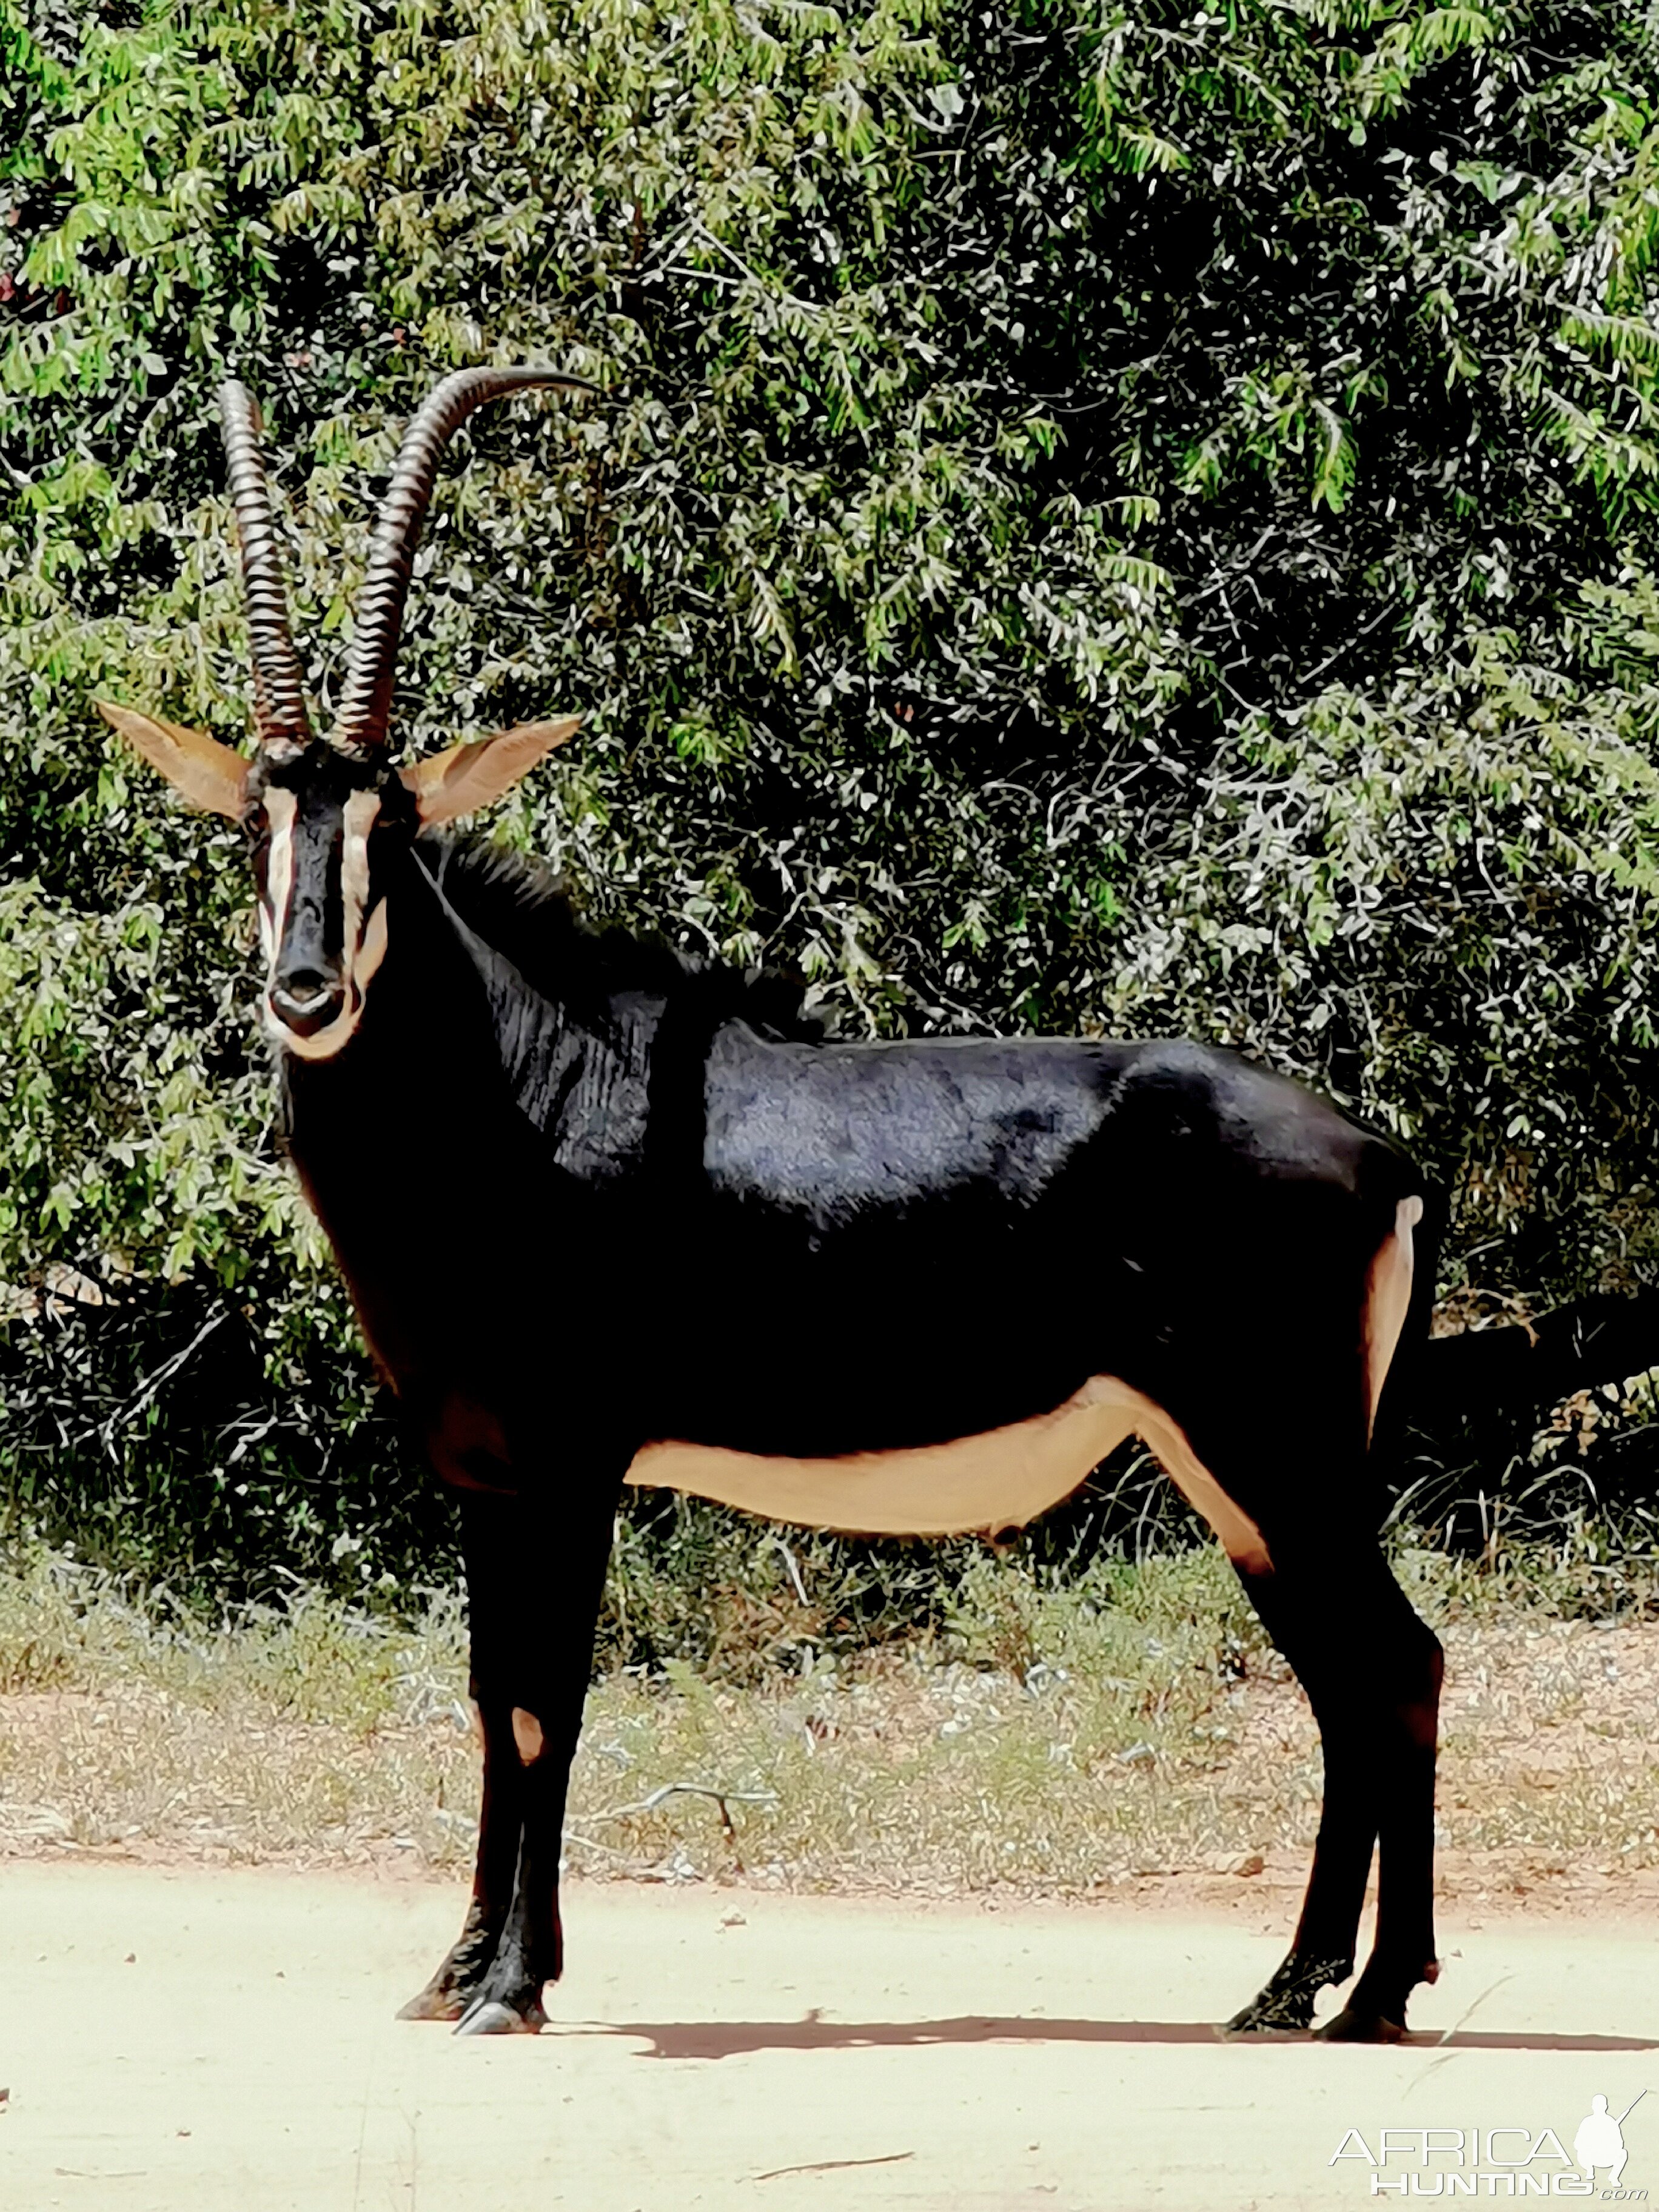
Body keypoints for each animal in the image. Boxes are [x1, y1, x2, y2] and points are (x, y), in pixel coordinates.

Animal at [104, 363, 1451, 2035]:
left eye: (391, 827)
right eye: (257, 820)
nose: (305, 992)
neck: (526, 1088)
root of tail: (1379, 1158)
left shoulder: (572, 1472)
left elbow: (549, 1705)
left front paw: (513, 1987)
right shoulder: (489, 1482)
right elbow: (490, 1698)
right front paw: (460, 1970)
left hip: (1272, 1450)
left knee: (1396, 1666)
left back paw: (1376, 1994)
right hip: (1238, 1473)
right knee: (1341, 1681)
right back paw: (1290, 1990)